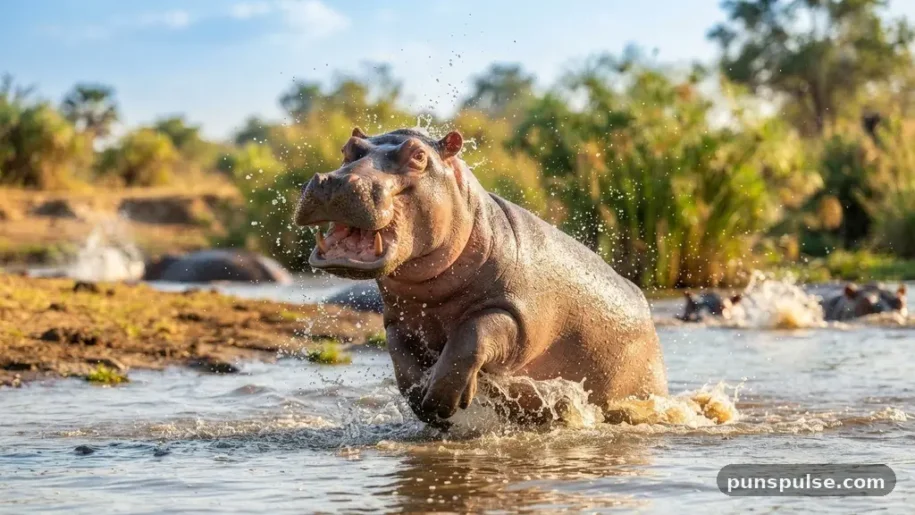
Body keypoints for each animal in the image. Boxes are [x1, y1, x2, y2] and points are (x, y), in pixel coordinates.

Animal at [293, 127, 667, 425]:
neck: (432, 294)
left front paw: (443, 399)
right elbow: (403, 365)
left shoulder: (515, 313)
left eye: (418, 156)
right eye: (348, 148)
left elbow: (470, 337)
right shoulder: (399, 320)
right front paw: (428, 404)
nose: (338, 180)